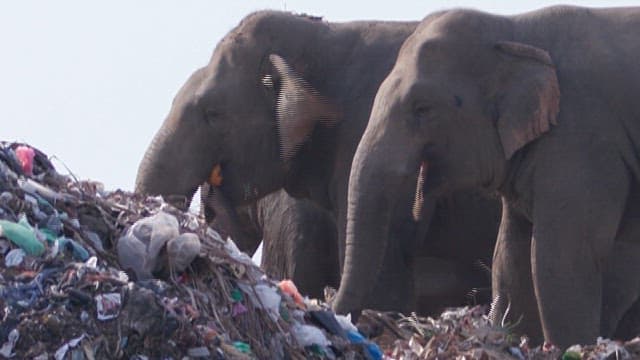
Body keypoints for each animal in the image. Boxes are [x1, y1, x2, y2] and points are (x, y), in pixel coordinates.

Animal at [338, 4, 640, 348]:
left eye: (423, 108)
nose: (368, 327)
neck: (515, 32)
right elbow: (510, 257)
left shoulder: (583, 138)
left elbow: (561, 259)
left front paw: (572, 348)